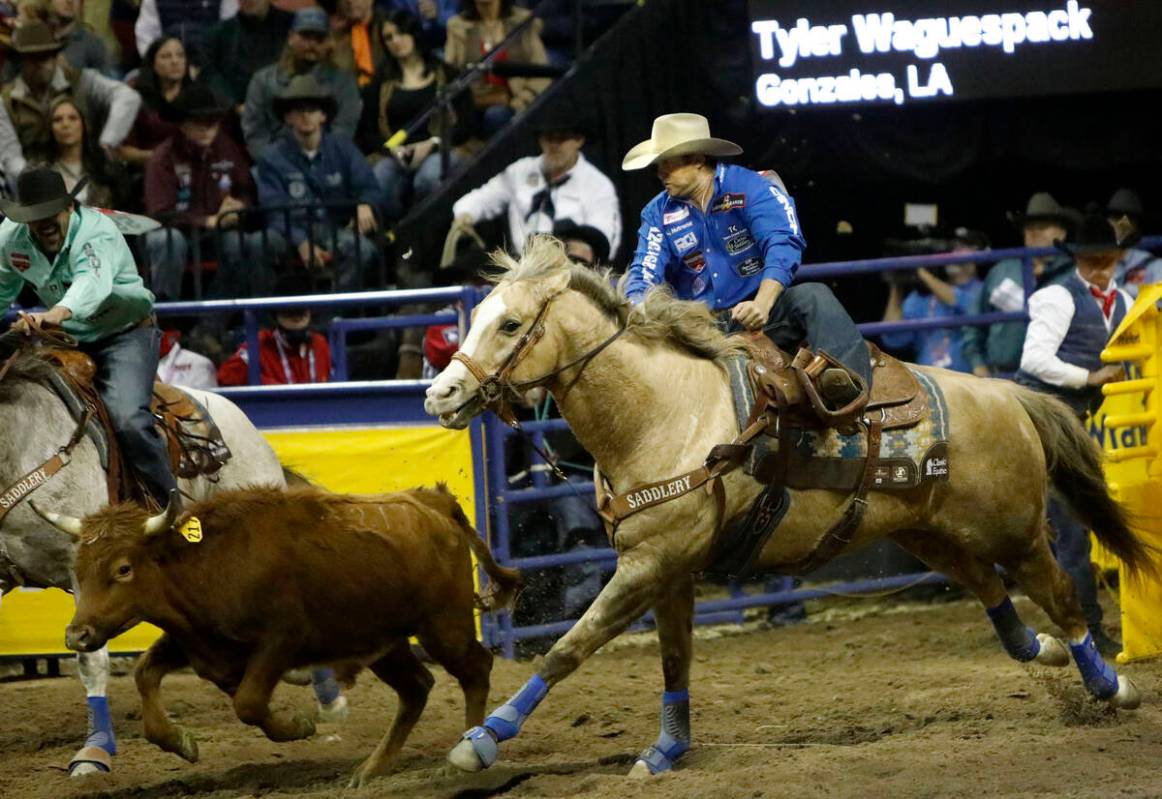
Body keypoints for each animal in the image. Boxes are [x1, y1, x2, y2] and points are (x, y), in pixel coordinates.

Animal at [425, 241, 1152, 780]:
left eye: (510, 324)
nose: (440, 394)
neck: (662, 412)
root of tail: (1005, 395)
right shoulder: (667, 570)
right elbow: (673, 659)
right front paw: (668, 749)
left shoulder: (649, 564)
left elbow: (568, 648)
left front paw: (482, 738)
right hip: (930, 532)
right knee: (992, 592)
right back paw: (1045, 652)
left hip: (1017, 530)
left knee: (1063, 596)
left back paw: (1111, 686)